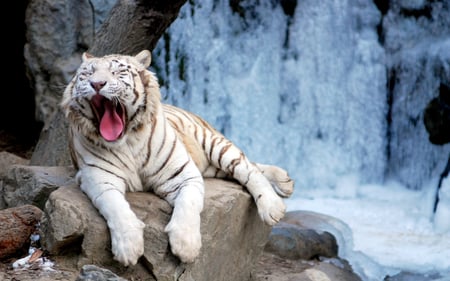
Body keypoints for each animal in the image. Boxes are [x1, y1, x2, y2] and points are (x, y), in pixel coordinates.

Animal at [60, 49, 296, 266]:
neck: (127, 141)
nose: (97, 84)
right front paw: (128, 248)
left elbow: (188, 204)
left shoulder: (183, 174)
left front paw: (186, 246)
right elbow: (116, 207)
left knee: (248, 167)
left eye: (117, 72)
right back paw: (285, 180)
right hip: (211, 167)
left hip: (213, 144)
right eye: (87, 74)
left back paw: (274, 205)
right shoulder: (99, 178)